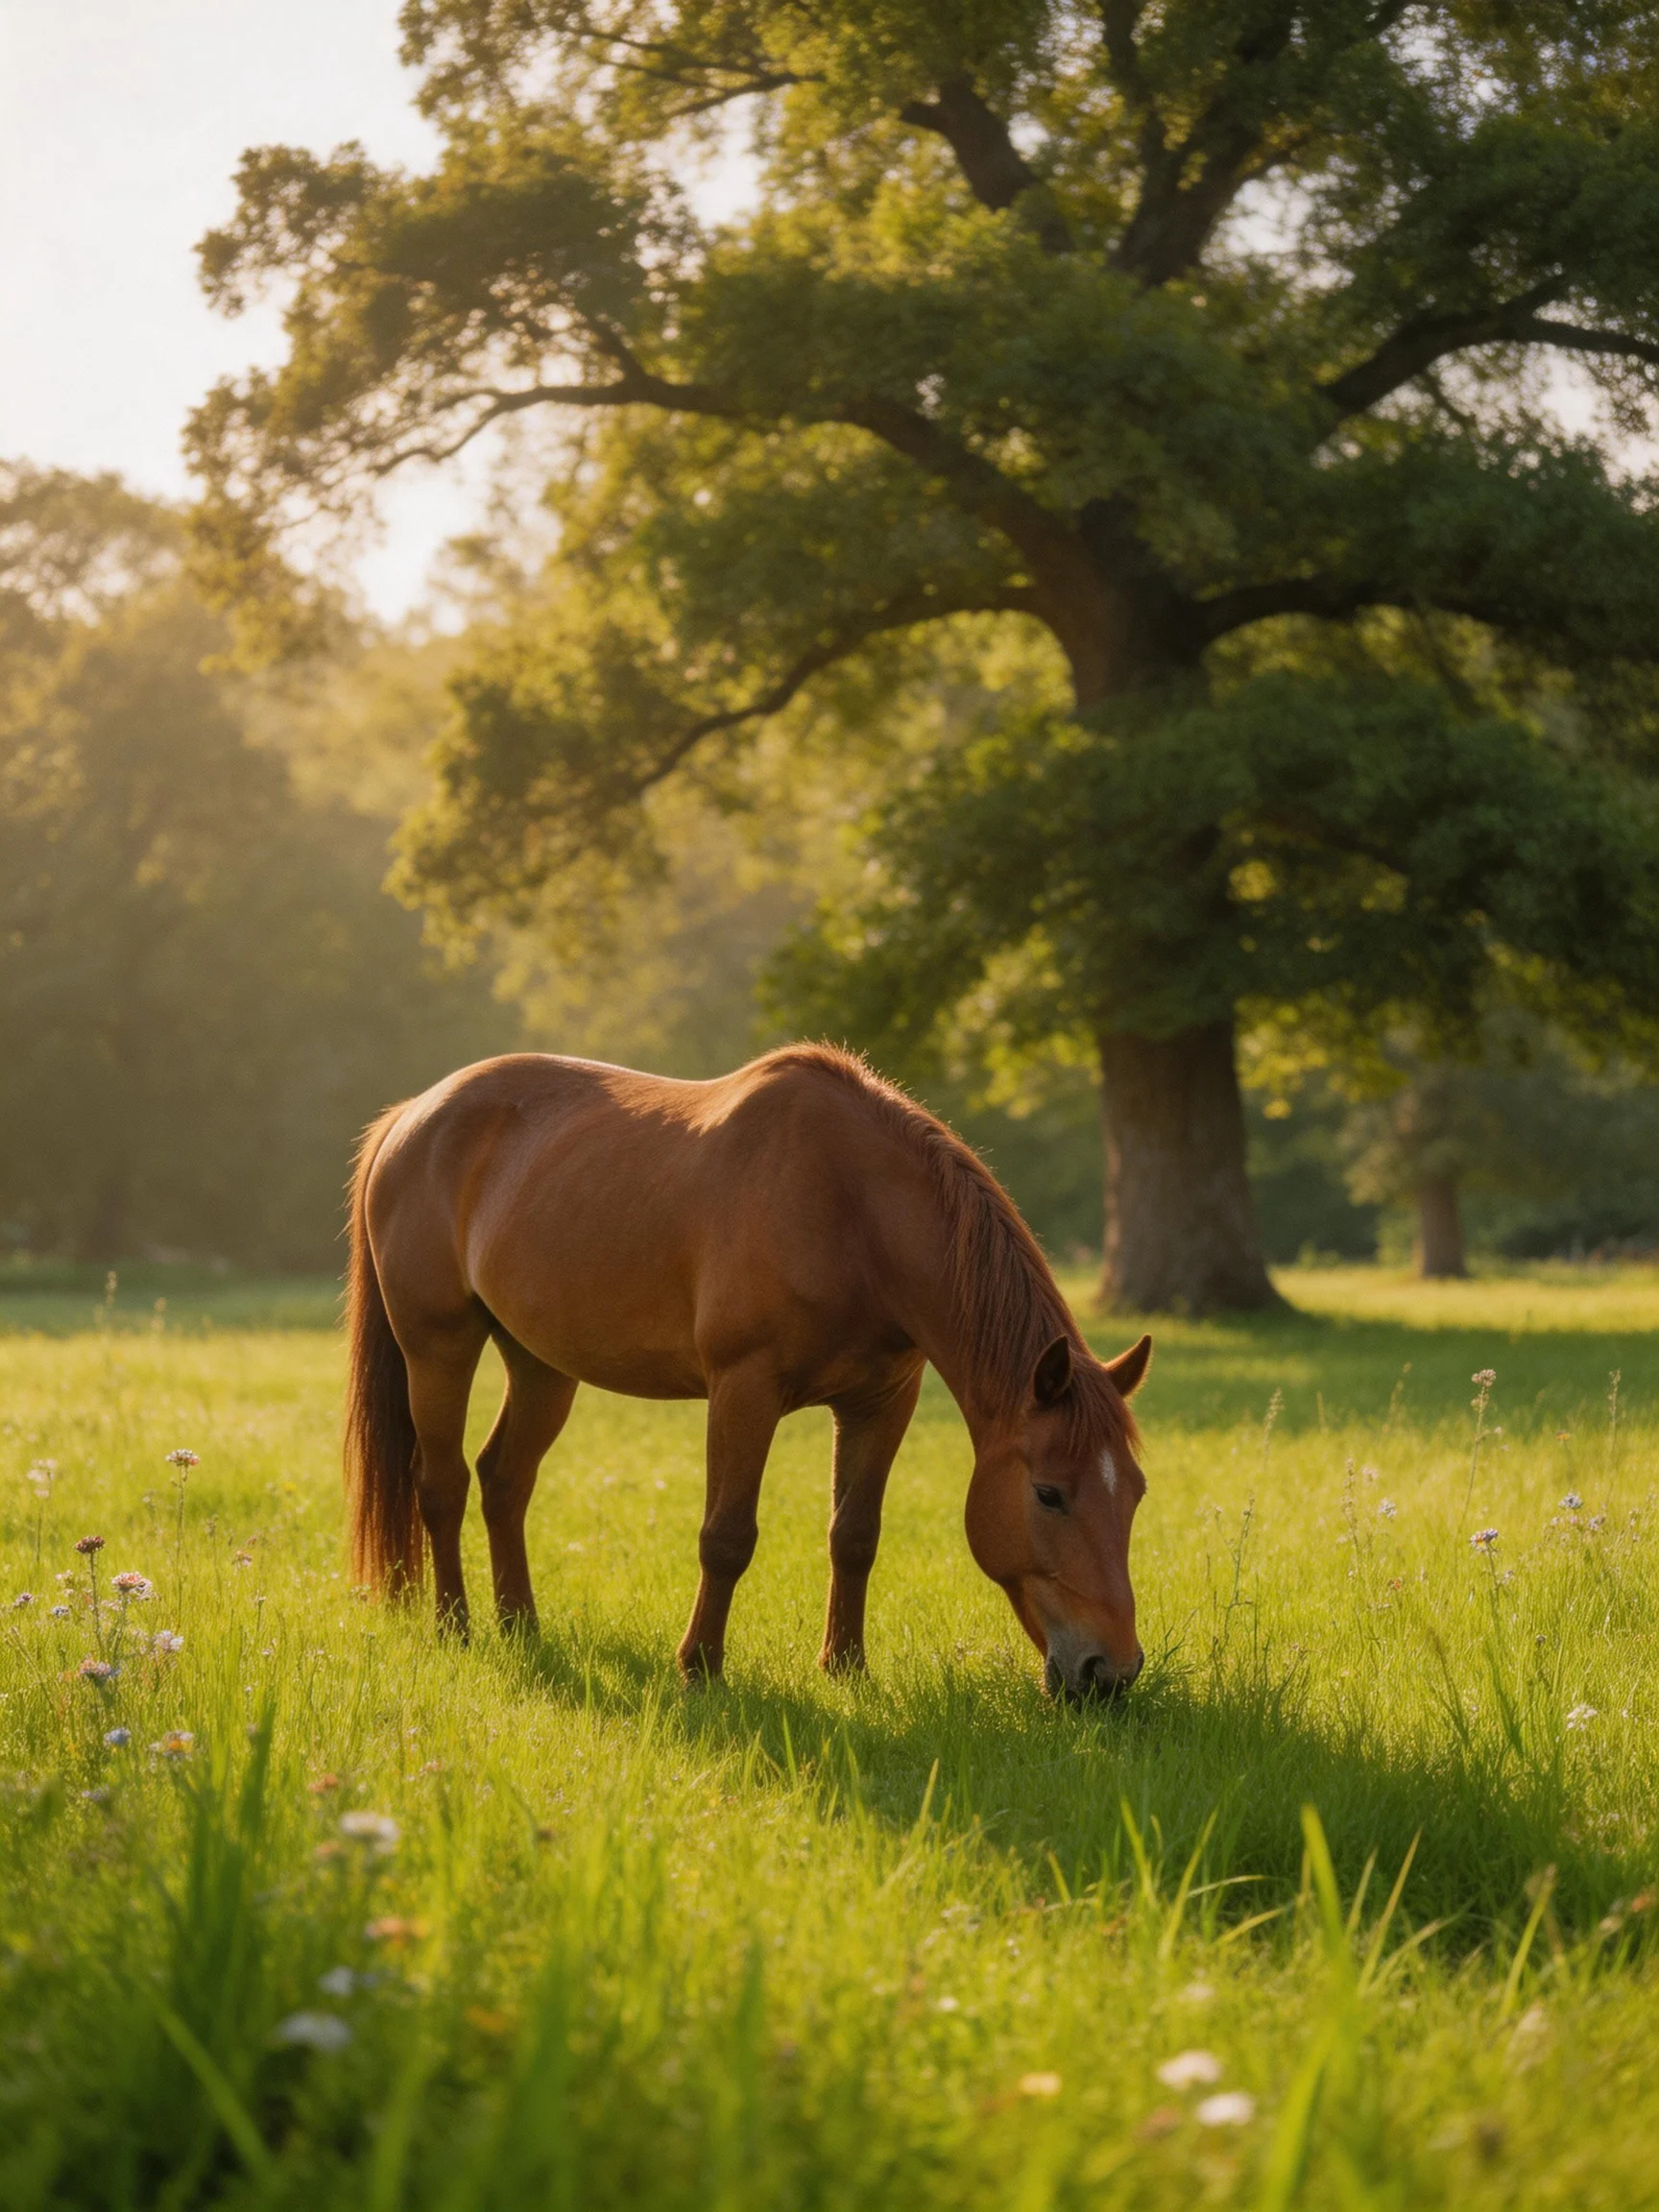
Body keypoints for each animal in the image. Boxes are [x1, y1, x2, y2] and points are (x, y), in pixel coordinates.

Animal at [344, 1044, 1153, 1697]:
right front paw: (699, 1668)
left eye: (1137, 1493)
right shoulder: (744, 1390)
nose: (1110, 1672)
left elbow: (855, 1535)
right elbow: (727, 1536)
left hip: (542, 1365)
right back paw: (456, 1627)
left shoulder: (883, 1401)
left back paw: (522, 1625)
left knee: (504, 1480)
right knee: (442, 1483)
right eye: (1048, 1494)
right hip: (438, 1347)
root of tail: (411, 1115)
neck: (851, 1209)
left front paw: (845, 1667)